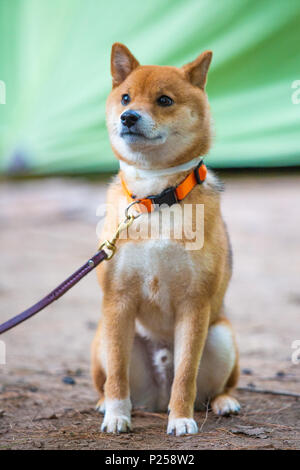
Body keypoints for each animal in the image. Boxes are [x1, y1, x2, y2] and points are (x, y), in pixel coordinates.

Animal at [90, 44, 240, 436]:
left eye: (164, 100)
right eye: (126, 97)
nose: (128, 117)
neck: (155, 198)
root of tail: (155, 400)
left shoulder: (195, 305)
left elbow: (185, 374)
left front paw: (182, 419)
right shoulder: (118, 301)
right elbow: (117, 375)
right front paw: (117, 416)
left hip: (221, 336)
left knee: (217, 387)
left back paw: (224, 402)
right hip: (102, 336)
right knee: (108, 379)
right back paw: (106, 404)